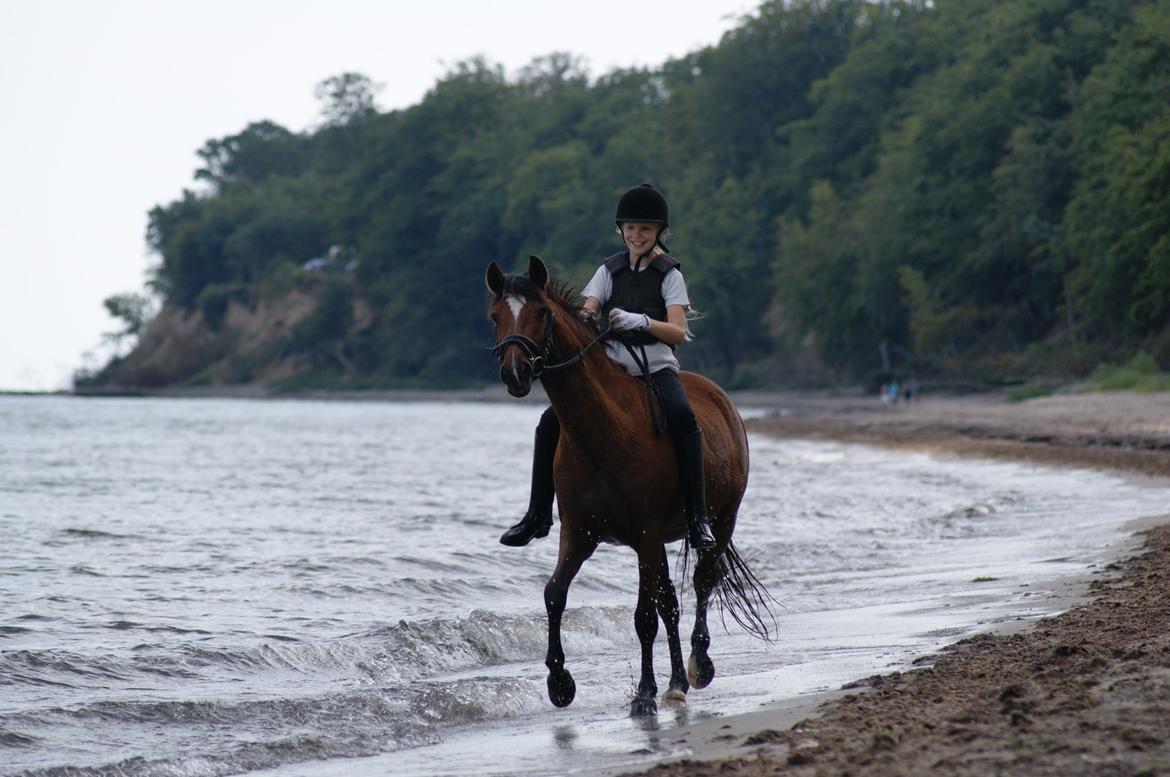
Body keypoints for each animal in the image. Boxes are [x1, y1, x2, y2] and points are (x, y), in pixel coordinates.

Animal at [484, 256, 776, 716]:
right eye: (496, 316)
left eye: (543, 313)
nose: (516, 374)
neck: (602, 433)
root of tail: (721, 397)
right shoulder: (579, 534)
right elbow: (554, 595)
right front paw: (560, 683)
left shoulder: (646, 534)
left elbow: (643, 617)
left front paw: (643, 693)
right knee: (670, 602)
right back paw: (676, 683)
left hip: (718, 521)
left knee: (701, 583)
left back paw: (697, 666)